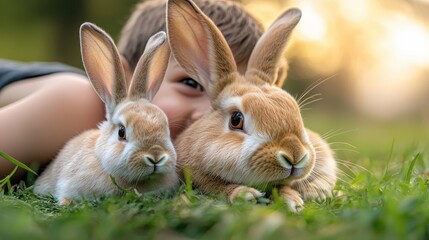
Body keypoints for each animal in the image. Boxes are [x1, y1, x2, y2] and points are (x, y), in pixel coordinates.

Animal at [167, 0, 338, 211]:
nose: (295, 155)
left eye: (296, 113)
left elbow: (284, 186)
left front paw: (292, 201)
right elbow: (218, 187)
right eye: (236, 119)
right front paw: (245, 195)